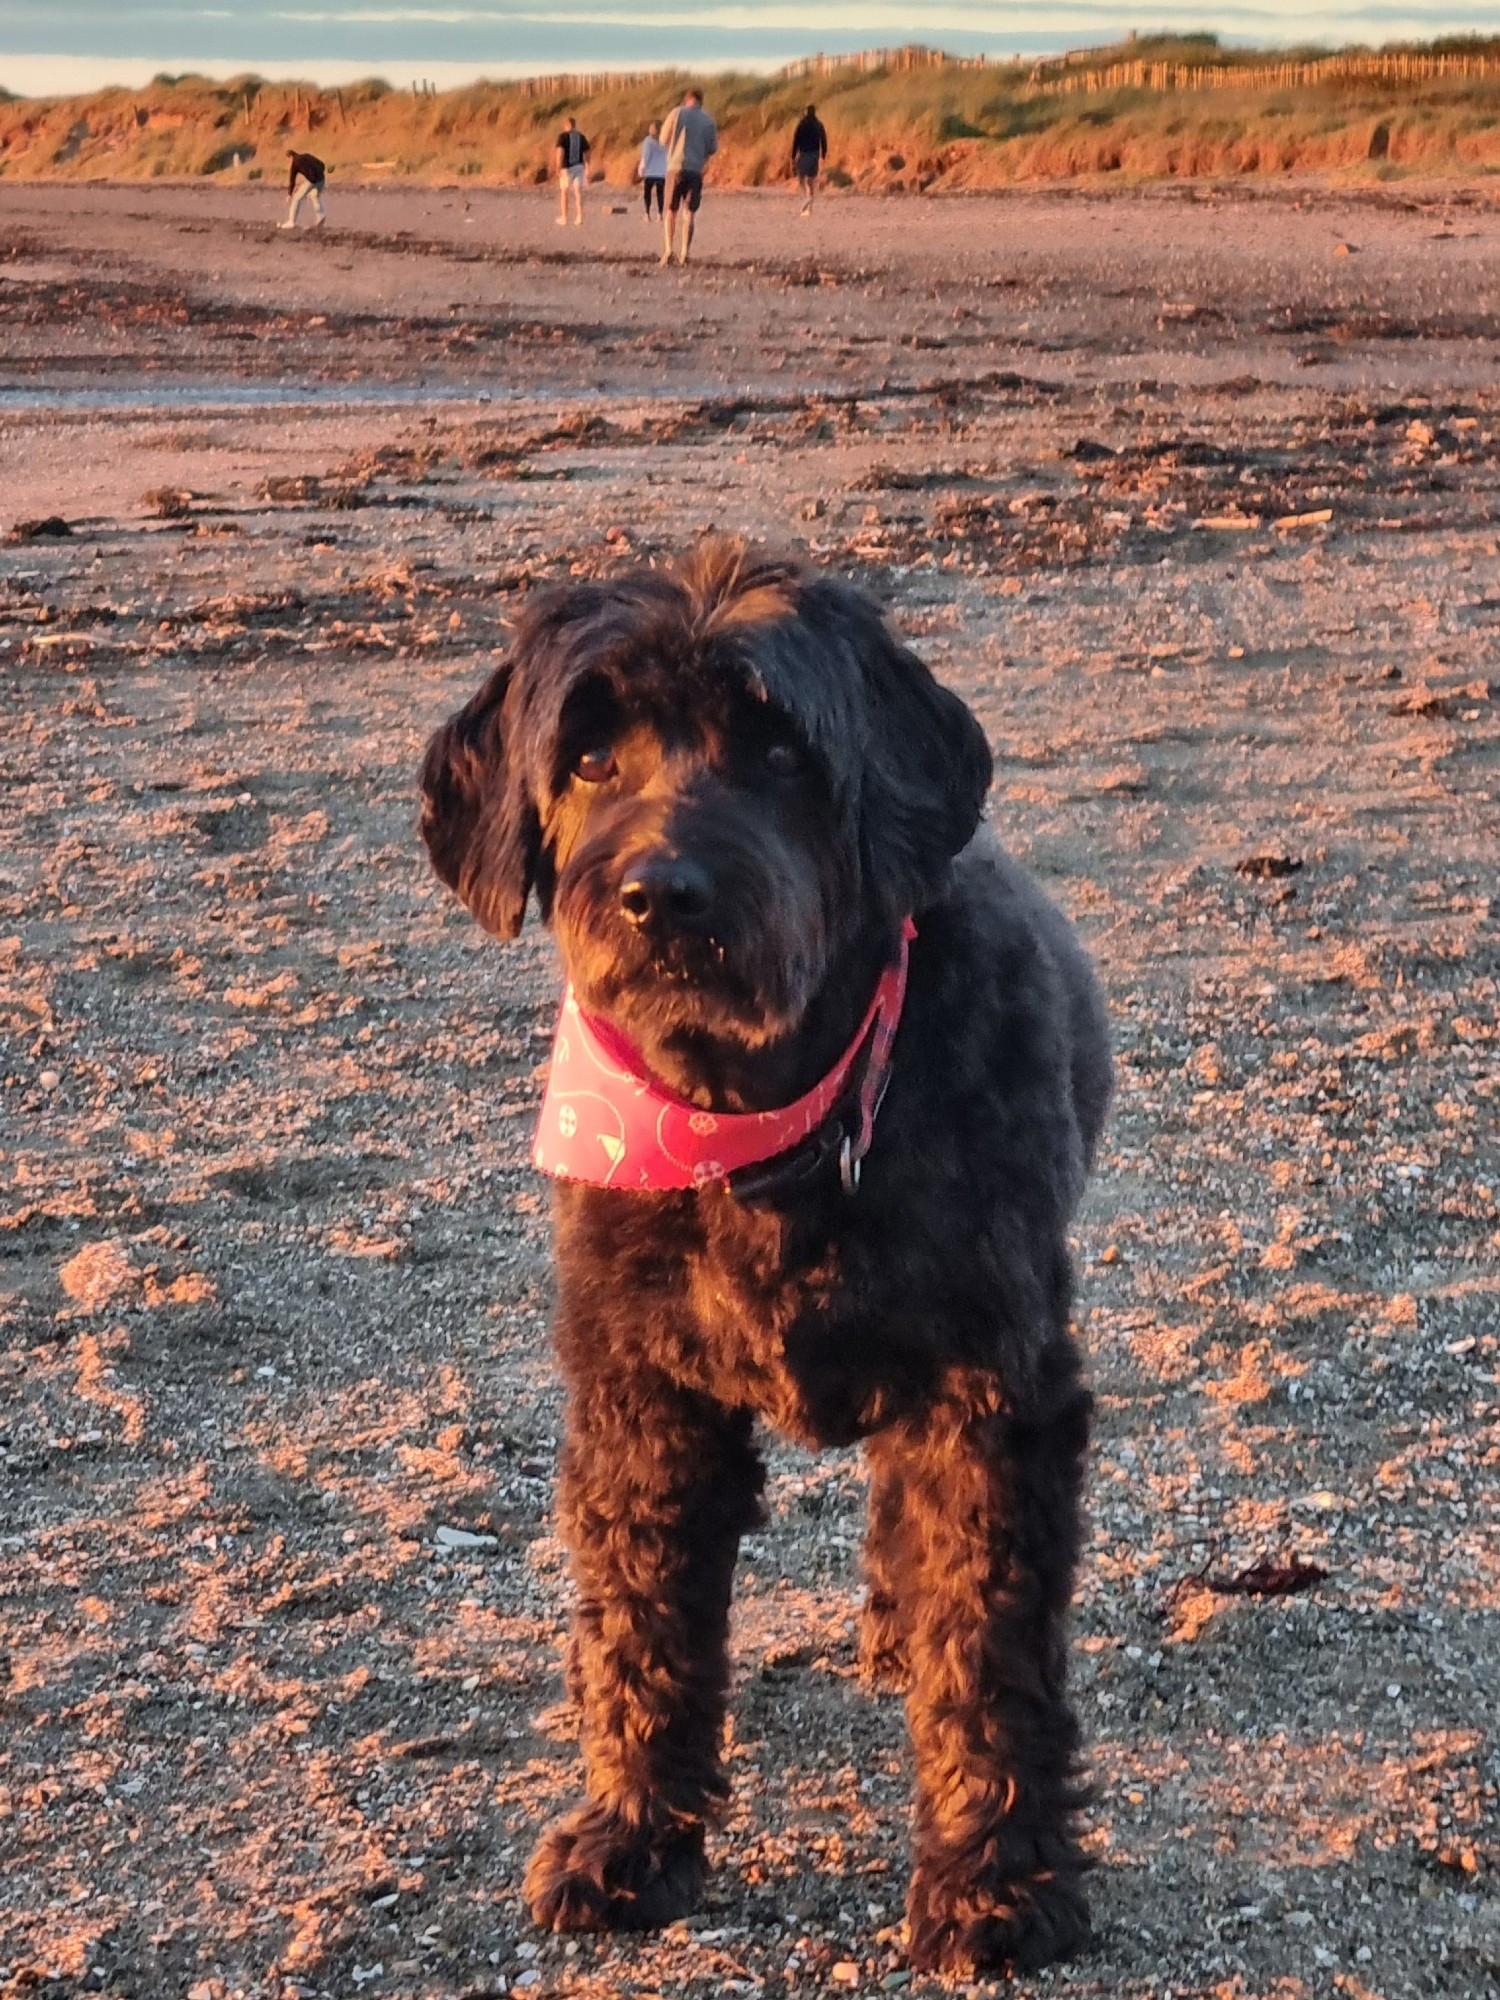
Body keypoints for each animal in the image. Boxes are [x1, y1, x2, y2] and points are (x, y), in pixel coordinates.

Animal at [424, 540, 1120, 1976]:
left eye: (784, 749)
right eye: (588, 756)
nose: (661, 893)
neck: (759, 1121)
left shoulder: (994, 1390)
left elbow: (991, 1635)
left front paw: (995, 1876)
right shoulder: (643, 1401)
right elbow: (643, 1625)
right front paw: (634, 1835)